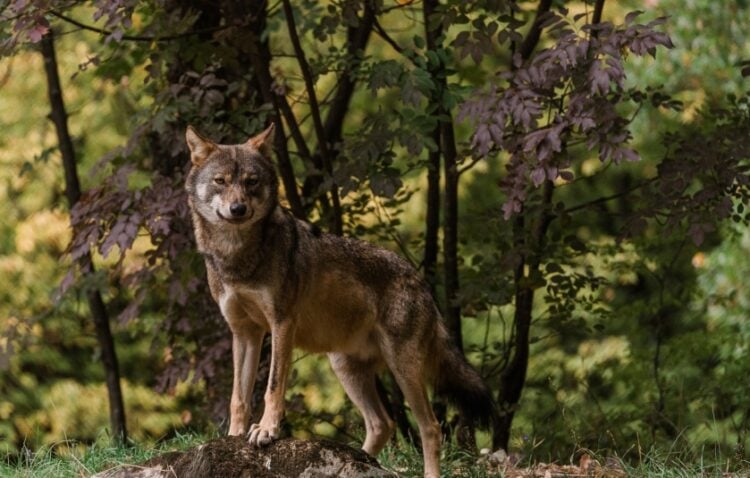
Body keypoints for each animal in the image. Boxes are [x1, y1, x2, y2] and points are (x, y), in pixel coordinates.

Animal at [184, 124, 500, 478]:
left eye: (251, 182)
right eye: (220, 181)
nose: (238, 209)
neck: (236, 257)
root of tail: (421, 281)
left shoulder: (281, 324)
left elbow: (272, 386)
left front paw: (266, 431)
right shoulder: (244, 333)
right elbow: (238, 396)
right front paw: (233, 437)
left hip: (402, 368)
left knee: (430, 428)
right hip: (346, 368)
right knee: (382, 424)